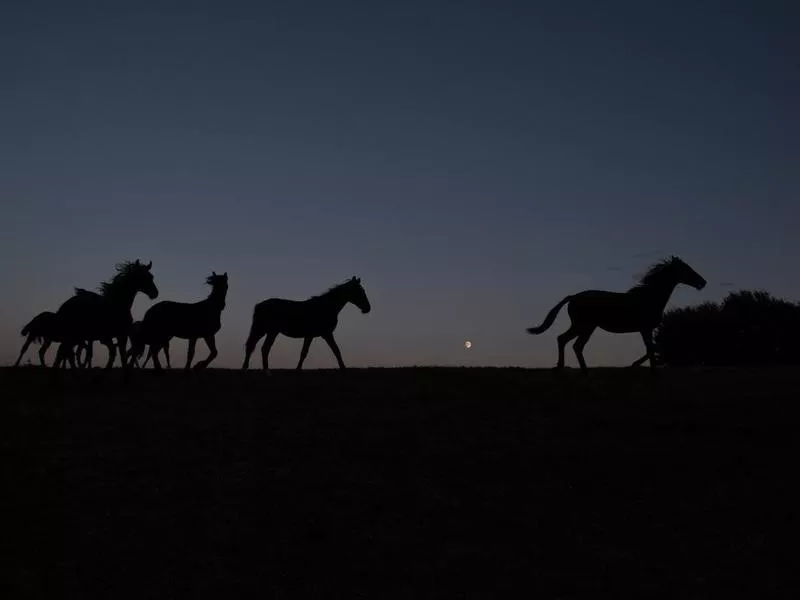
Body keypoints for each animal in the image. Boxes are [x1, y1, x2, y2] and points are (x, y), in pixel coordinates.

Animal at [241, 276, 372, 372]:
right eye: (360, 291)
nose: (367, 308)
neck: (326, 306)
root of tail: (259, 305)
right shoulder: (325, 334)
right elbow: (333, 350)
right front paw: (344, 369)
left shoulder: (313, 336)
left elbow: (308, 352)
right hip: (268, 331)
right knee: (259, 347)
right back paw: (263, 371)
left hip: (267, 331)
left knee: (258, 347)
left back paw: (254, 370)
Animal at [524, 256, 708, 372]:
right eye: (686, 269)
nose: (703, 283)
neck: (649, 298)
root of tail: (573, 297)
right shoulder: (645, 328)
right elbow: (652, 348)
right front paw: (639, 367)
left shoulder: (645, 330)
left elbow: (650, 349)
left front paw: (640, 366)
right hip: (584, 325)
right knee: (565, 340)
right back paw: (565, 367)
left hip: (587, 327)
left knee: (574, 344)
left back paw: (580, 370)